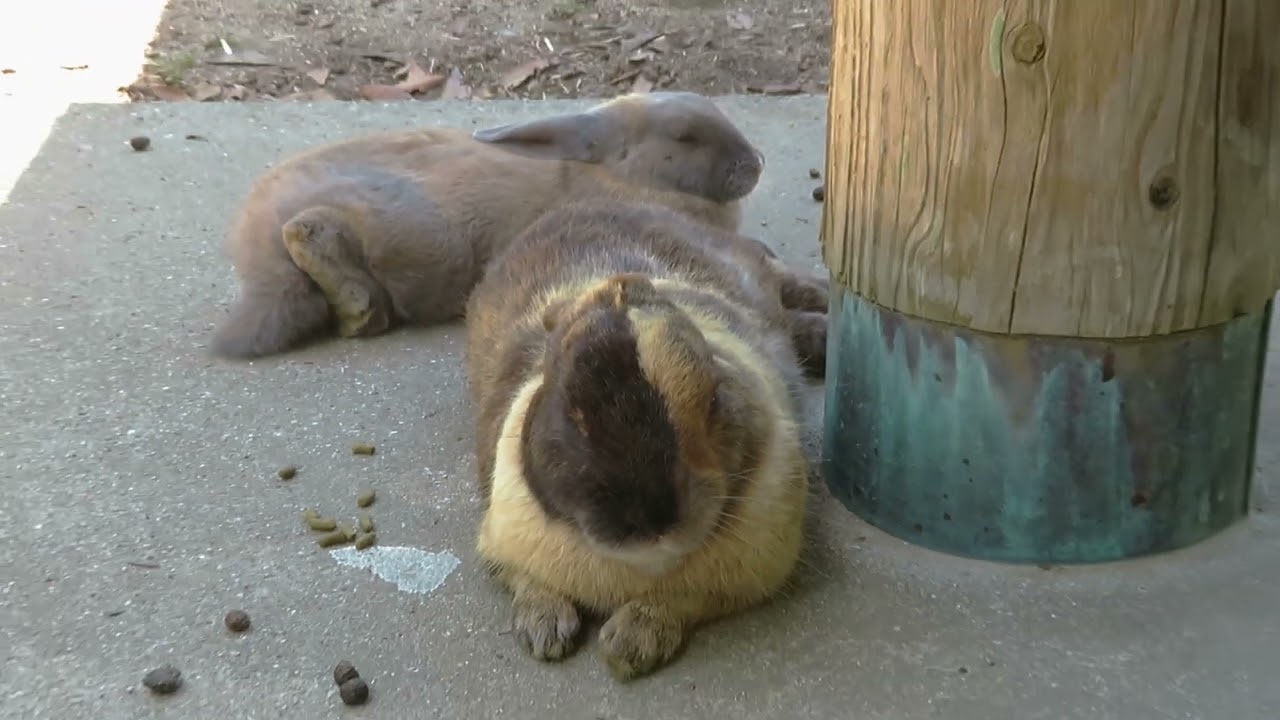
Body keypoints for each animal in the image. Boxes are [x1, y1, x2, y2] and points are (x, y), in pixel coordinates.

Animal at [208, 90, 766, 360]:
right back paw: (359, 308)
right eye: (685, 136)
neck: (618, 176)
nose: (755, 163)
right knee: (307, 233)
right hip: (427, 240)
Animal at [463, 196, 829, 681]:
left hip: (751, 264)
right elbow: (529, 583)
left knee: (783, 278)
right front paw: (544, 632)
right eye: (570, 411)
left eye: (713, 397)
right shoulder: (501, 546)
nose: (652, 519)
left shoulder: (751, 573)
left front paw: (629, 645)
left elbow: (679, 599)